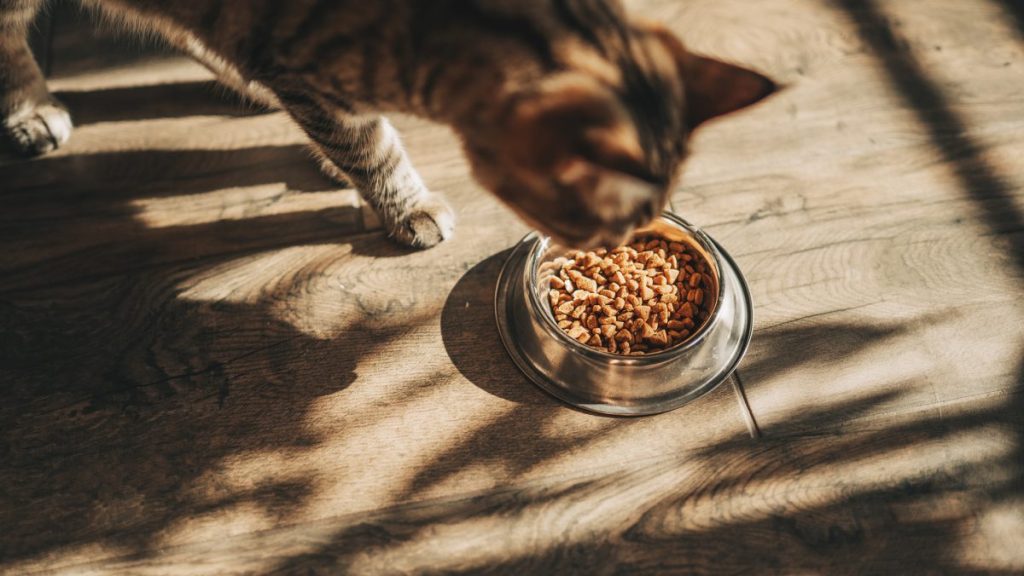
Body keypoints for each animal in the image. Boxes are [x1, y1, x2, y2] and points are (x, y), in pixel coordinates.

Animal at [0, 1, 774, 249]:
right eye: (601, 225)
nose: (615, 251)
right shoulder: (310, 66)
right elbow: (371, 146)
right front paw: (406, 206)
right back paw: (30, 110)